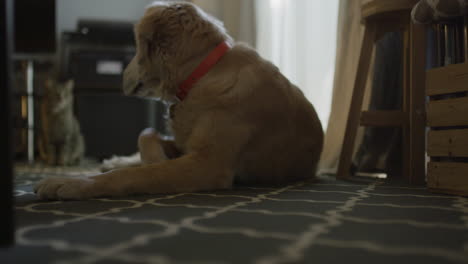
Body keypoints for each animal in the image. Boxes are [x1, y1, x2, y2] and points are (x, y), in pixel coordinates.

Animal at [34, 1, 324, 200]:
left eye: (137, 45)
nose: (121, 76)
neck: (202, 76)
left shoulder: (207, 165)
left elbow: (137, 172)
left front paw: (73, 183)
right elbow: (146, 134)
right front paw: (151, 156)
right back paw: (115, 160)